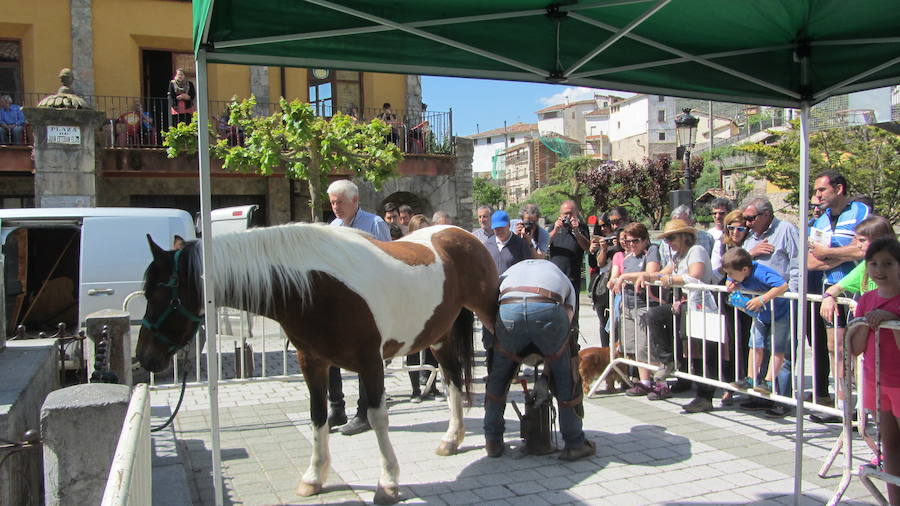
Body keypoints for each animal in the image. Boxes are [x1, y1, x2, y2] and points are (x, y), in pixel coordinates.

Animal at [135, 223, 500, 504]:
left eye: (158, 295)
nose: (145, 358)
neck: (315, 286)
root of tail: (460, 233)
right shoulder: (312, 362)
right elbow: (317, 415)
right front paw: (313, 477)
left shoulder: (371, 362)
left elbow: (377, 418)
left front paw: (388, 483)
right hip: (438, 336)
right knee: (453, 380)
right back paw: (451, 440)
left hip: (489, 315)